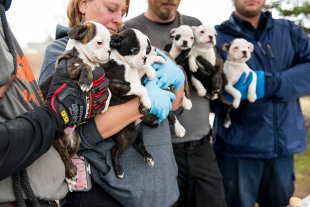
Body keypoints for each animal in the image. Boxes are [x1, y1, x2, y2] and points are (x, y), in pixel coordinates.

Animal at [40, 20, 111, 184]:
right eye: (99, 43)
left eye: (110, 42)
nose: (110, 51)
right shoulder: (71, 70)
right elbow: (84, 67)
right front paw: (86, 82)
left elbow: (108, 91)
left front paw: (104, 104)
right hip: (57, 139)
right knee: (63, 156)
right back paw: (71, 173)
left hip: (76, 142)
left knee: (69, 153)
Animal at [104, 27, 163, 178]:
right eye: (135, 50)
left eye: (147, 50)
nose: (144, 57)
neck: (124, 62)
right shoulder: (116, 84)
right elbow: (140, 87)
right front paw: (146, 102)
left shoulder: (137, 72)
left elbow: (144, 69)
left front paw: (152, 70)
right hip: (125, 136)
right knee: (114, 151)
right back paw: (119, 172)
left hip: (138, 131)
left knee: (138, 144)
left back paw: (148, 157)